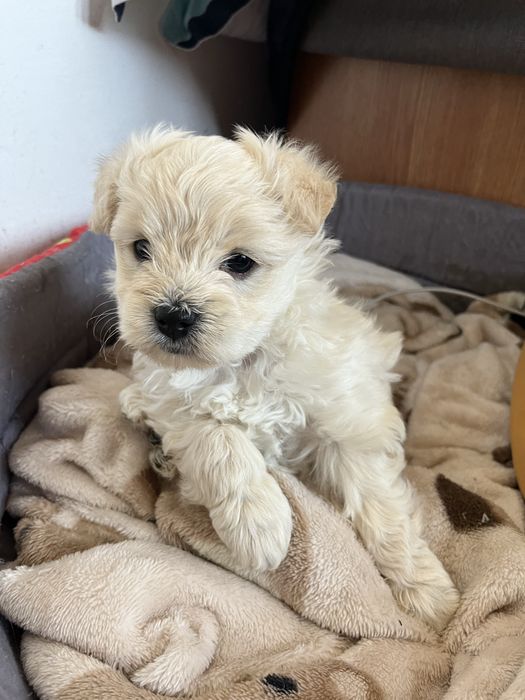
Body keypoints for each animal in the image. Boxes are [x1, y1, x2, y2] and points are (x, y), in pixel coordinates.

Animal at [91, 126, 459, 630]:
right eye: (141, 248)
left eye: (240, 262)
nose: (172, 316)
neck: (245, 359)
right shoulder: (178, 405)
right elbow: (218, 439)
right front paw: (260, 526)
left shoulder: (347, 419)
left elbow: (380, 502)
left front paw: (424, 589)